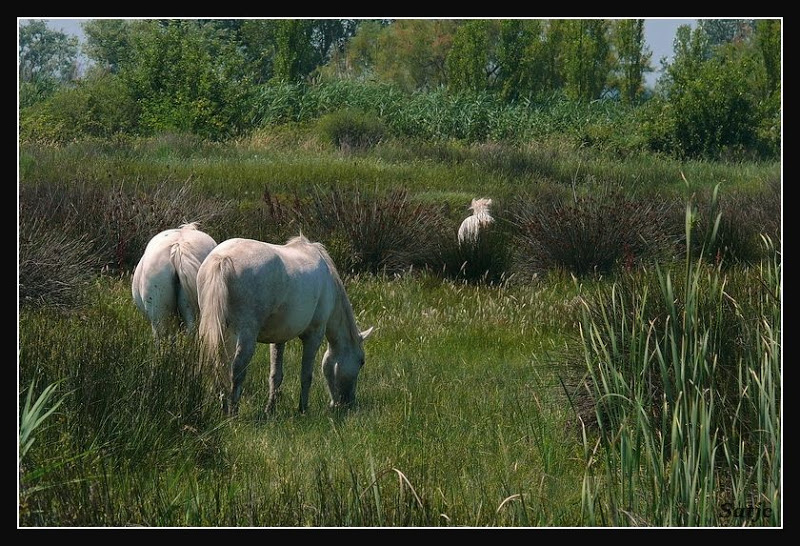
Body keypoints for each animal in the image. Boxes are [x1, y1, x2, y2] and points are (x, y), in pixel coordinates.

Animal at [198, 232, 376, 414]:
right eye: (361, 361)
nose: (347, 403)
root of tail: (222, 258)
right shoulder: (314, 336)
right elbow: (306, 375)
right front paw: (303, 409)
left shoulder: (279, 338)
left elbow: (276, 375)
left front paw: (270, 408)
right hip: (246, 335)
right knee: (236, 371)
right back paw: (232, 412)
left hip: (221, 333)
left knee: (219, 367)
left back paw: (224, 407)